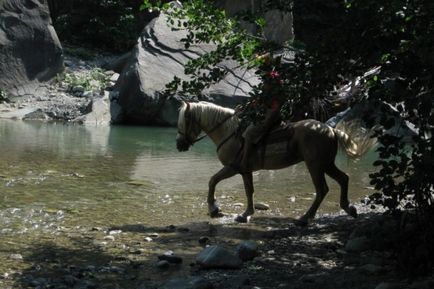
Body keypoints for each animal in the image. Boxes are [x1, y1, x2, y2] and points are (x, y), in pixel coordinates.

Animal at [175, 100, 372, 224]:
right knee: (343, 178)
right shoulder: (245, 171)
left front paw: (213, 208)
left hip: (315, 165)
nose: (179, 145)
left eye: (184, 121)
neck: (229, 133)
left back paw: (306, 217)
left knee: (322, 189)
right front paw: (246, 214)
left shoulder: (233, 168)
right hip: (326, 164)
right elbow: (249, 191)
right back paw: (348, 208)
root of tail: (330, 129)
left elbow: (212, 181)